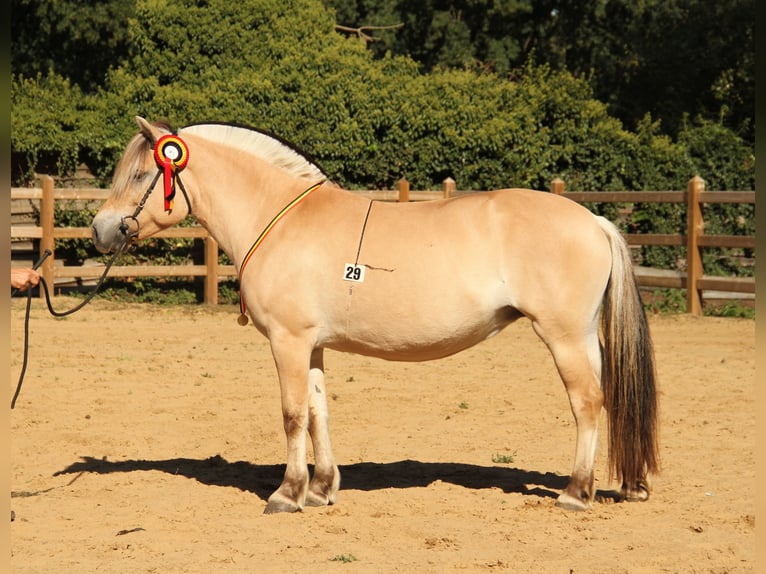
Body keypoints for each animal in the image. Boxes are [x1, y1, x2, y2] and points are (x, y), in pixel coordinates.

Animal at [91, 117, 659, 514]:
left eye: (142, 173)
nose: (100, 231)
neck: (280, 219)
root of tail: (593, 220)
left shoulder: (288, 341)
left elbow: (293, 414)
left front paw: (287, 493)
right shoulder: (311, 345)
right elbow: (318, 412)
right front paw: (320, 489)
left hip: (563, 337)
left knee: (587, 403)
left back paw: (576, 492)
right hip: (583, 338)